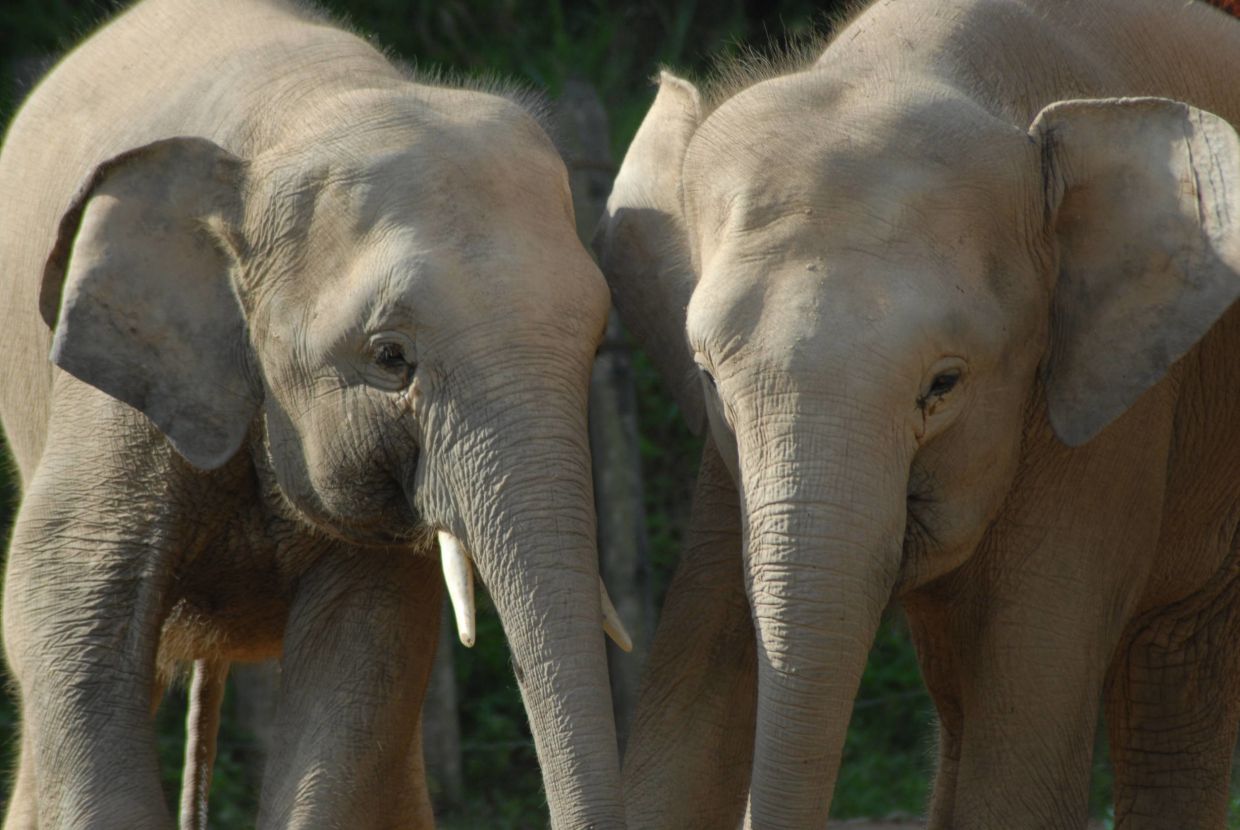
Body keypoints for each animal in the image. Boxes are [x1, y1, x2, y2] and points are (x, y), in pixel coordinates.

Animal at [2, 1, 629, 828]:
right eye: (391, 357)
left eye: (595, 343)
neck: (309, 108)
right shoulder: (115, 399)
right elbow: (63, 609)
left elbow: (366, 648)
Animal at [595, 1, 1240, 828]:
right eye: (707, 374)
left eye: (944, 384)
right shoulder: (723, 465)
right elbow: (685, 728)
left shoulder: (1110, 419)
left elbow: (1019, 770)